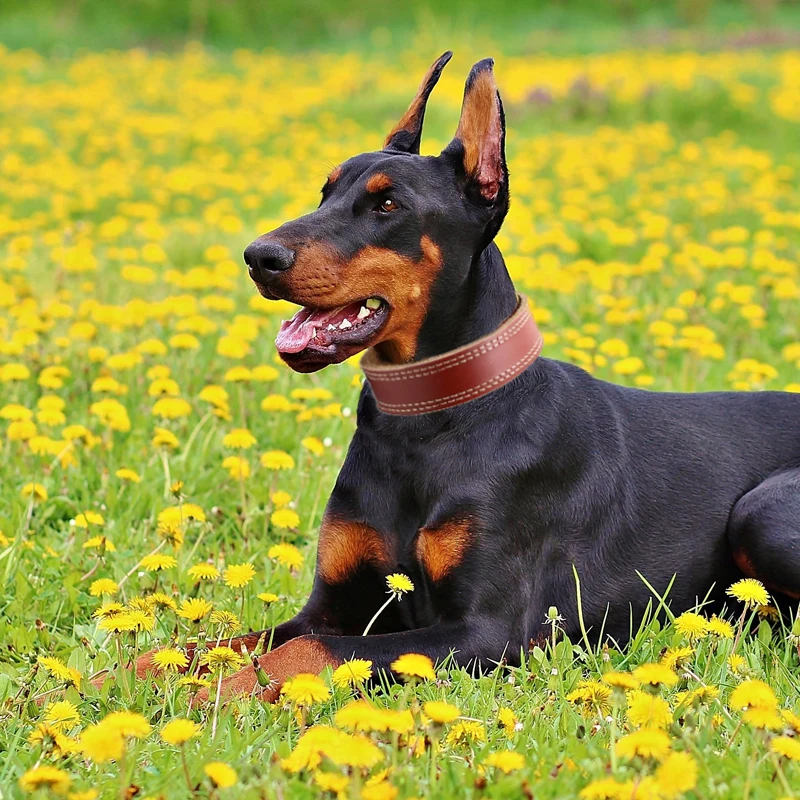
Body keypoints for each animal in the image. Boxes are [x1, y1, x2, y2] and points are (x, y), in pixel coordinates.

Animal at [134, 51, 796, 700]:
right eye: (324, 192)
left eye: (388, 204)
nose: (258, 257)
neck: (423, 423)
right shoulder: (332, 606)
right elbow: (206, 644)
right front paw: (134, 676)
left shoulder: (486, 631)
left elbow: (304, 652)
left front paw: (208, 697)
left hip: (759, 511)